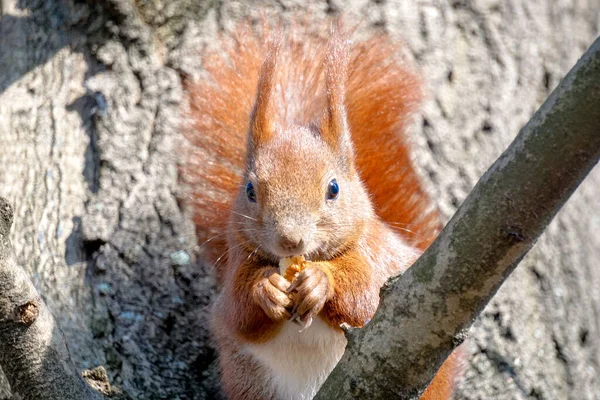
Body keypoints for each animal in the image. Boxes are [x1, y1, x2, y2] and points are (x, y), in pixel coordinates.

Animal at [183, 21, 460, 400]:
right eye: (251, 191)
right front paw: (265, 288)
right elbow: (238, 311)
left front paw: (320, 281)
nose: (289, 240)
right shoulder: (238, 263)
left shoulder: (377, 259)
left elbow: (365, 297)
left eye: (334, 188)